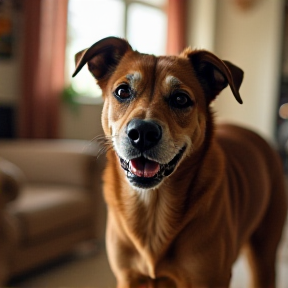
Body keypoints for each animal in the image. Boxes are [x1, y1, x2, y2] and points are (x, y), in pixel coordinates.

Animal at [73, 36, 288, 288]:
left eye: (180, 99)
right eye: (123, 91)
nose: (142, 133)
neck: (153, 209)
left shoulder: (208, 280)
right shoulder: (128, 277)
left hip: (264, 254)